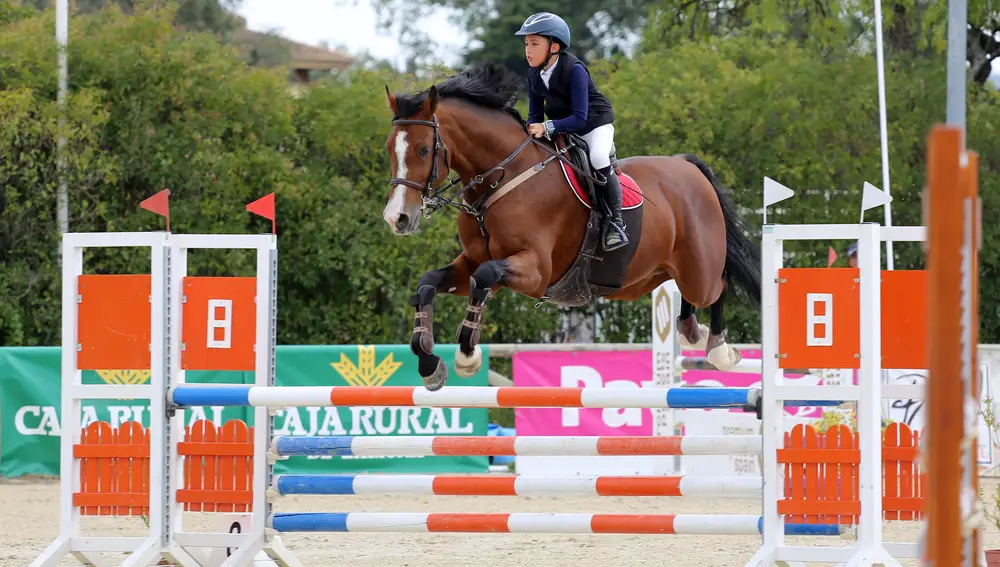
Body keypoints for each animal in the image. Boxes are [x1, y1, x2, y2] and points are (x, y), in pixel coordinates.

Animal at [380, 62, 756, 390]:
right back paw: (691, 330)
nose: (397, 218)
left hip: (698, 270)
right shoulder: (472, 261)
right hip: (651, 274)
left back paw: (718, 349)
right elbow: (429, 283)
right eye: (389, 149)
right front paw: (428, 363)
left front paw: (467, 355)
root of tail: (688, 167)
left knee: (718, 287)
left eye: (424, 149)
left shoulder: (535, 271)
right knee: (687, 293)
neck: (502, 177)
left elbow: (483, 278)